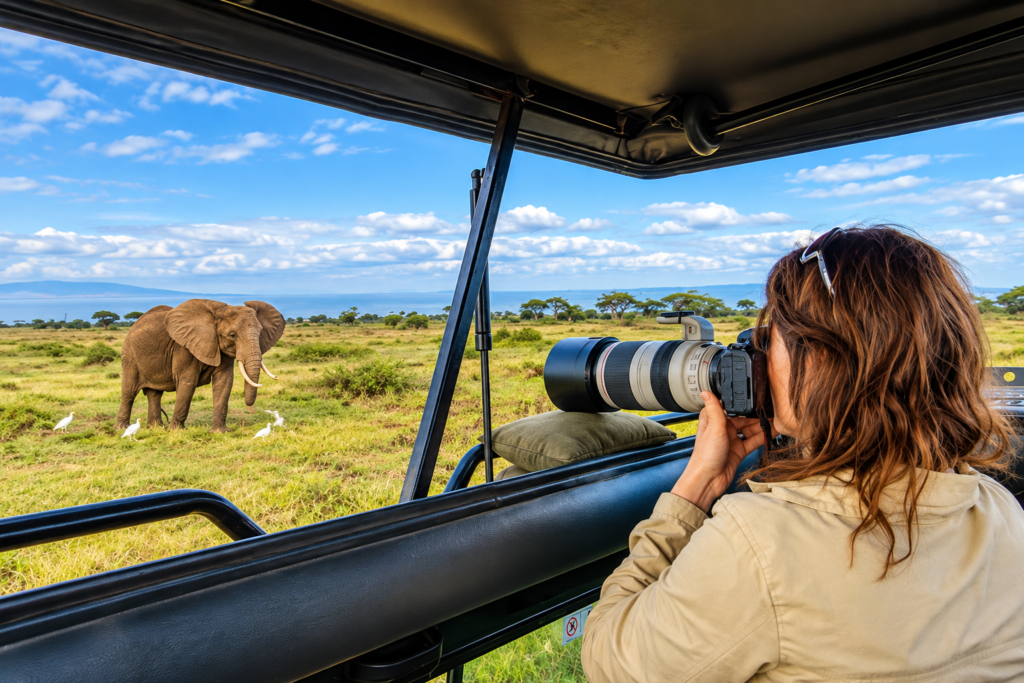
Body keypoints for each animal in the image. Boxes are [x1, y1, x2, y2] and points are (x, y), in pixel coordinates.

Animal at [116, 299, 285, 432]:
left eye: (260, 333)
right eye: (232, 335)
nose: (250, 408)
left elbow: (224, 382)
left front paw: (220, 432)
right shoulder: (183, 348)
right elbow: (187, 382)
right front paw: (176, 431)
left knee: (154, 393)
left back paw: (156, 428)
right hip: (129, 355)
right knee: (129, 392)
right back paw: (122, 429)